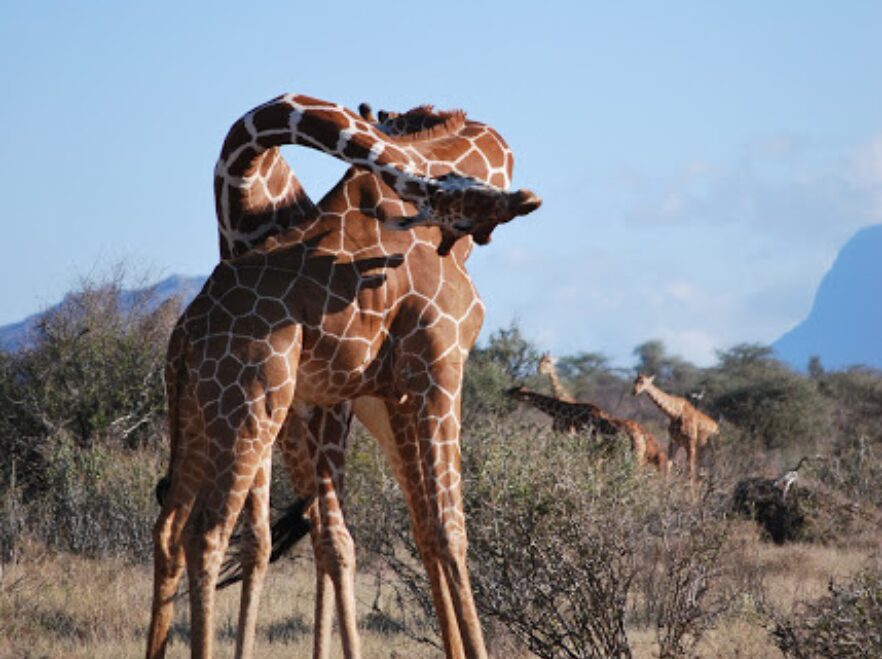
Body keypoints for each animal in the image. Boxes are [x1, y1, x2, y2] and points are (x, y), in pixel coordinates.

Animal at [146, 93, 540, 659]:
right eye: (448, 192)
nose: (517, 199)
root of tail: (186, 333)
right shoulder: (440, 367)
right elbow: (448, 528)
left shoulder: (380, 392)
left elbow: (403, 529)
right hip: (253, 405)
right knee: (212, 531)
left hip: (204, 416)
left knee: (173, 529)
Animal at [506, 386, 667, 471]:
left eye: (515, 391)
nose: (505, 391)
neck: (566, 412)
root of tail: (641, 437)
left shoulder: (580, 443)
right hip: (636, 456)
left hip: (633, 456)